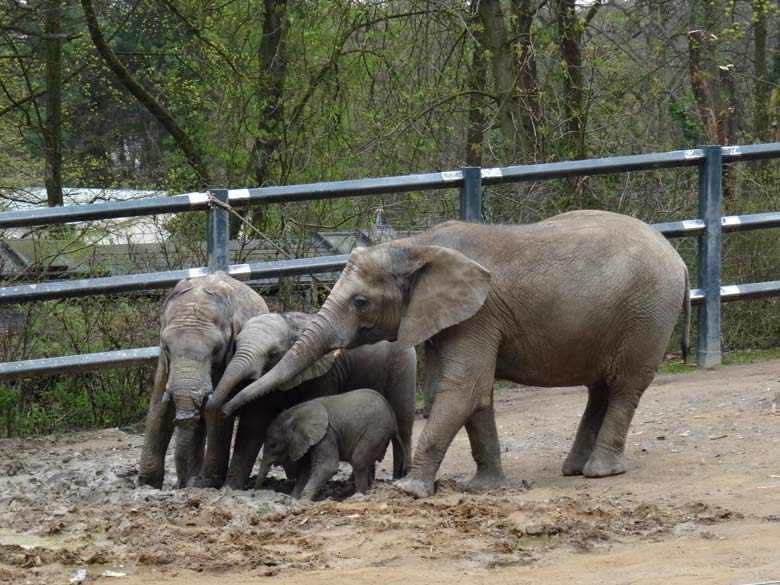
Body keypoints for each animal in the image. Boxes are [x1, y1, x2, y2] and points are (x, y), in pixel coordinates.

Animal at [136, 272, 266, 488]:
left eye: (217, 349)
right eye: (167, 347)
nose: (179, 485)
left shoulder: (229, 356)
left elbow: (217, 411)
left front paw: (206, 485)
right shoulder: (164, 361)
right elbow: (159, 405)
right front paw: (147, 485)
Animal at [256, 388, 402, 498]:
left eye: (273, 445)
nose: (254, 492)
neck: (295, 414)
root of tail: (393, 417)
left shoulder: (326, 434)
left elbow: (328, 466)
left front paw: (303, 500)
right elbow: (306, 471)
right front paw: (294, 499)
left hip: (376, 430)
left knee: (358, 460)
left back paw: (358, 496)